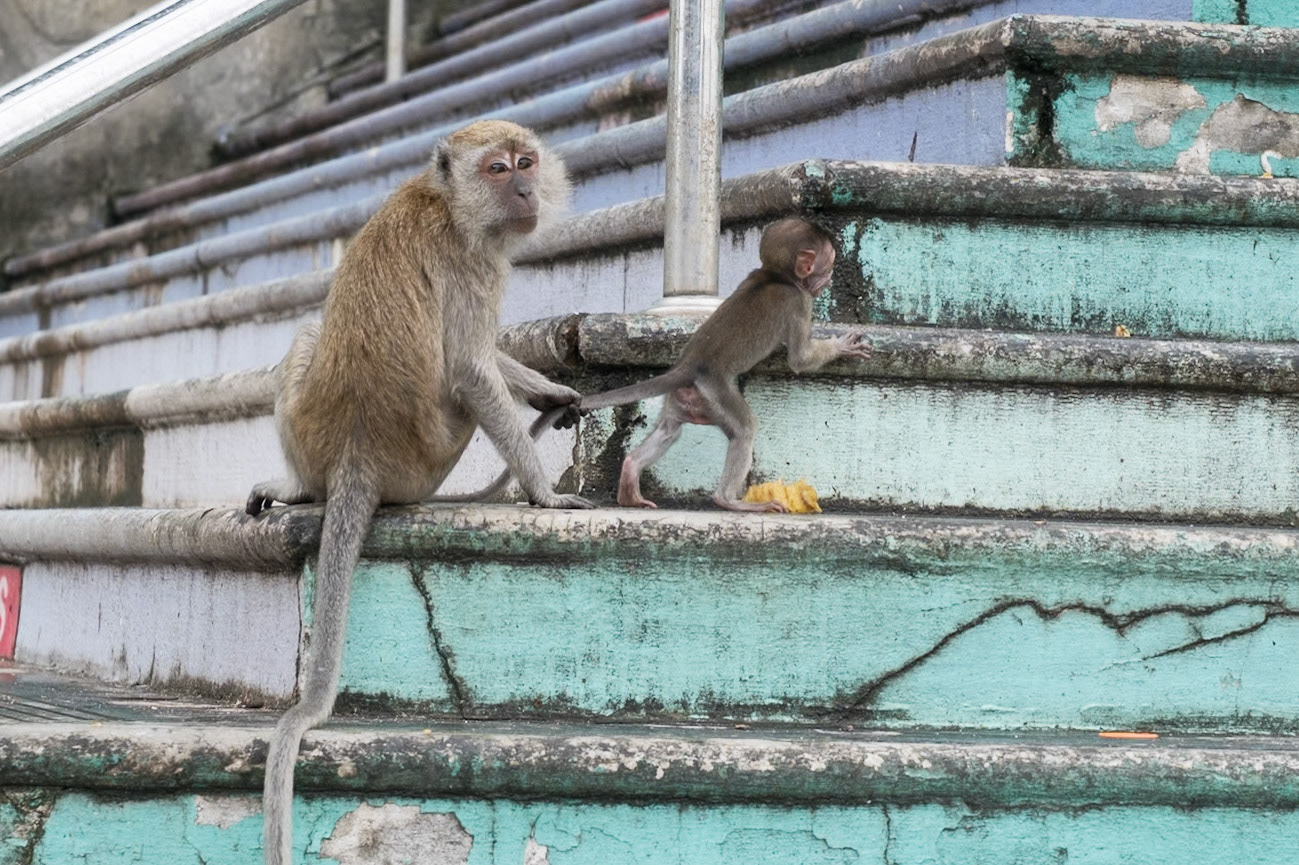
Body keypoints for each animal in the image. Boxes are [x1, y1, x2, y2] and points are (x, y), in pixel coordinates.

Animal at [244, 120, 591, 865]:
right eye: (498, 170)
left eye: (526, 162)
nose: (525, 190)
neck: (446, 201)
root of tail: (359, 455)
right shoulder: (473, 264)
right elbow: (472, 370)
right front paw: (546, 494)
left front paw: (552, 390)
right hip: (432, 457)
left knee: (308, 331)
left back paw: (299, 489)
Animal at [457, 218, 872, 511]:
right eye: (828, 265)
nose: (827, 279)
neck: (777, 276)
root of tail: (689, 365)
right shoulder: (800, 303)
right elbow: (800, 359)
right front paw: (842, 346)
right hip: (716, 390)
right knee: (743, 430)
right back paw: (728, 500)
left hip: (687, 397)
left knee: (670, 430)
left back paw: (629, 478)